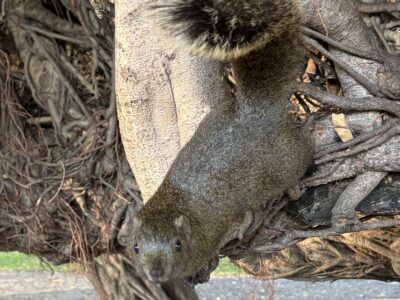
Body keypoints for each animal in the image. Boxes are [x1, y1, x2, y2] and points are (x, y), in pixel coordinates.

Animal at [118, 0, 312, 282]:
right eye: (135, 246)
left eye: (178, 245)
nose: (155, 272)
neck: (175, 207)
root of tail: (256, 108)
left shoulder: (212, 235)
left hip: (288, 159)